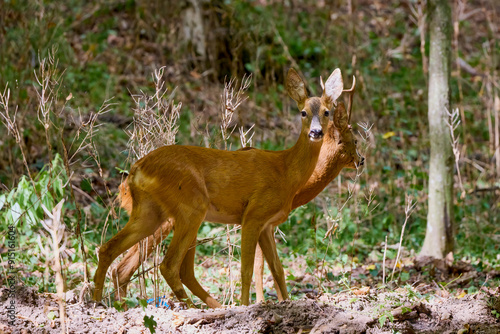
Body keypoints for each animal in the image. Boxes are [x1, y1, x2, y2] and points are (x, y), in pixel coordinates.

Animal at [94, 67, 346, 308]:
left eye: (326, 112)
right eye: (303, 112)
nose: (316, 132)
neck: (285, 171)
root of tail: (136, 169)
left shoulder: (267, 224)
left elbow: (277, 268)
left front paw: (286, 303)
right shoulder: (253, 214)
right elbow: (246, 269)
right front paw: (246, 306)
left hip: (150, 211)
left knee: (108, 250)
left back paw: (101, 301)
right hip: (191, 206)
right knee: (168, 264)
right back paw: (196, 308)